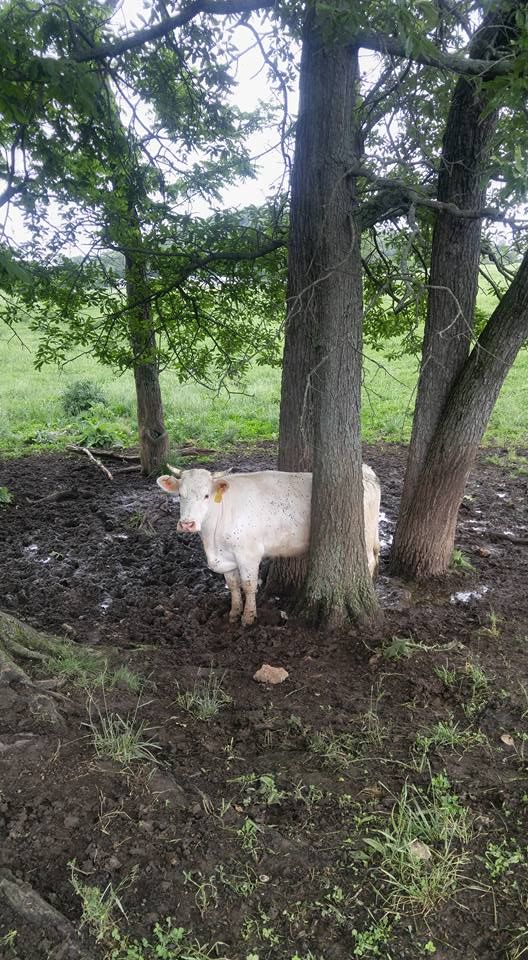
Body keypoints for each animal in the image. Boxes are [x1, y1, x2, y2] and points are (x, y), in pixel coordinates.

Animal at [157, 466, 380, 632]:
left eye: (206, 495)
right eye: (180, 494)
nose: (187, 524)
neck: (213, 541)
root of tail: (366, 470)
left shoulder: (248, 554)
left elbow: (248, 586)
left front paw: (248, 618)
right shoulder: (227, 559)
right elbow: (234, 586)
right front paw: (234, 613)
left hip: (366, 534)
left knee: (370, 560)